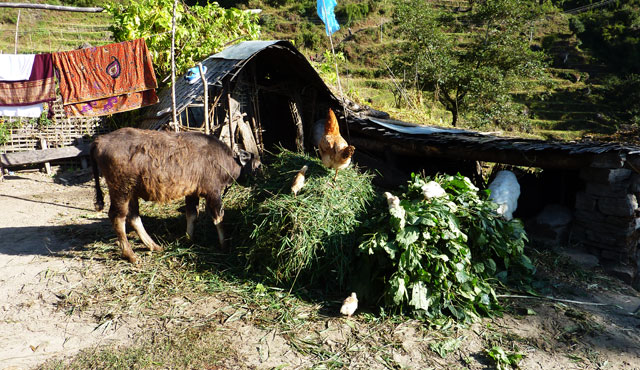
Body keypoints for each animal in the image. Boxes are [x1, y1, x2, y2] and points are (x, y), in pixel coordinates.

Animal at [90, 127, 260, 264]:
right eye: (257, 165)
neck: (223, 159)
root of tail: (100, 140)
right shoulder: (213, 193)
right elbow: (219, 218)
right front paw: (225, 245)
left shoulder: (192, 193)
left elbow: (192, 215)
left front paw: (189, 239)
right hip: (121, 191)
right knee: (118, 218)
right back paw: (131, 255)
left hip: (131, 192)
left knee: (133, 217)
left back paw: (154, 246)